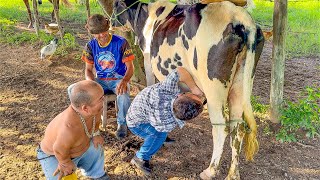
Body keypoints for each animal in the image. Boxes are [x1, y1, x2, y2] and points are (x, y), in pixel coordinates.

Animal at [112, 0, 264, 179]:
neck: (146, 17)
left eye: (115, 6)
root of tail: (240, 18)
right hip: (240, 86)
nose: (110, 22)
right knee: (237, 128)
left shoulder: (149, 62)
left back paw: (210, 171)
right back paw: (233, 174)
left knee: (221, 128)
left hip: (214, 89)